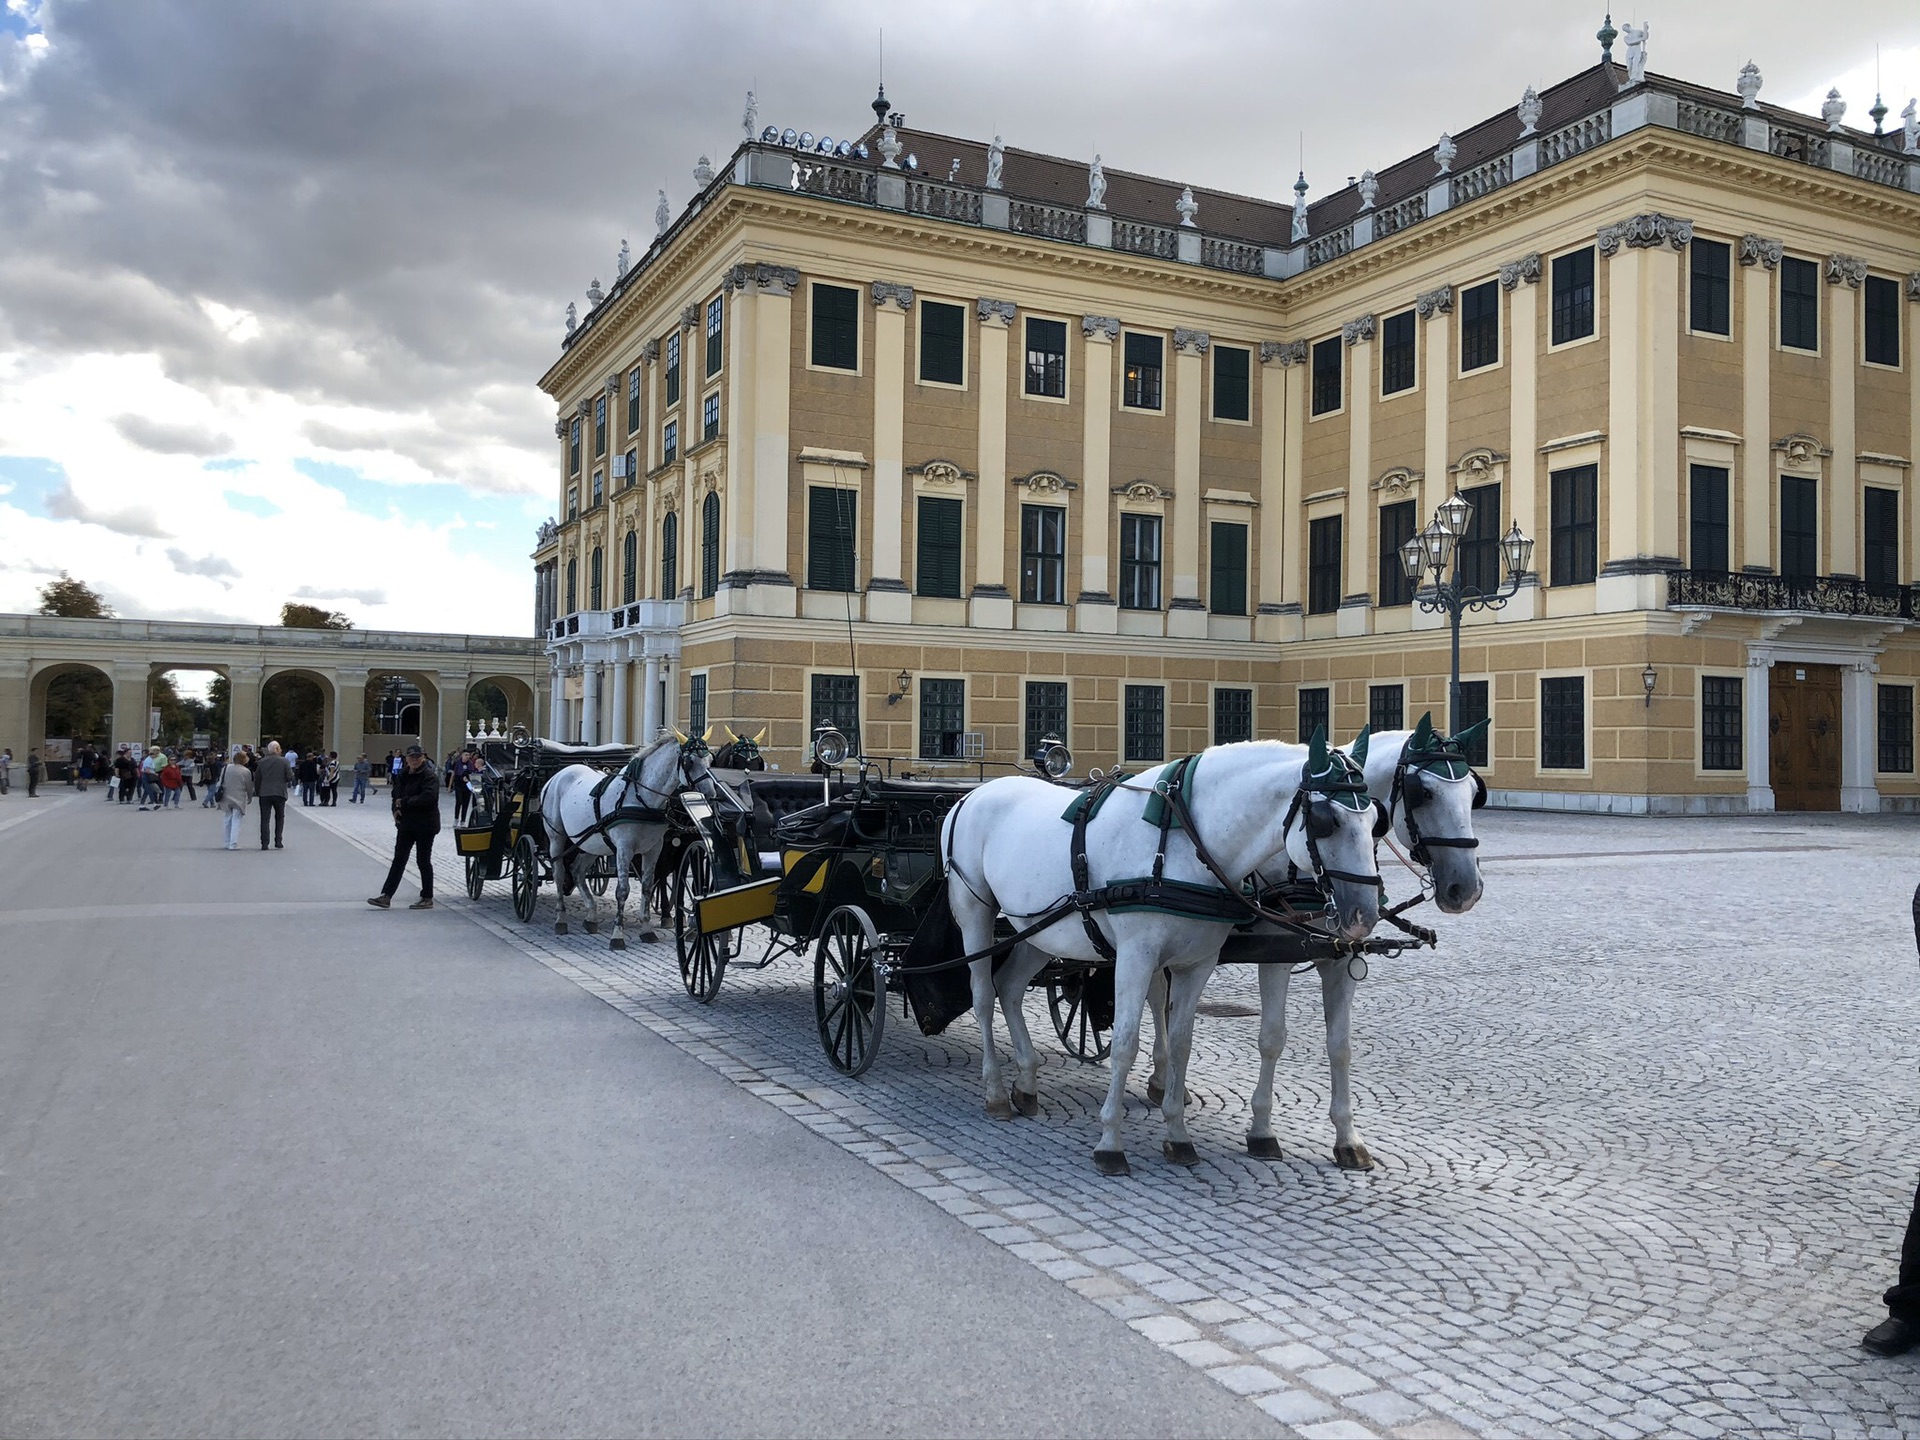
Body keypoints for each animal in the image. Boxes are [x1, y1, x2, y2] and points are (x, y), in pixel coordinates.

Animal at [537, 737, 718, 952]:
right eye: (689, 762)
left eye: (710, 760)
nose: (711, 794)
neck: (642, 799)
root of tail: (558, 775)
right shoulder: (625, 849)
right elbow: (622, 891)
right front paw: (617, 935)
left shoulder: (653, 850)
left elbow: (648, 887)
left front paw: (647, 930)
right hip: (556, 837)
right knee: (559, 873)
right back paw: (561, 919)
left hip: (591, 842)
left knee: (577, 871)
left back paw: (591, 916)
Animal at [940, 725, 1382, 1175]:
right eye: (1326, 821)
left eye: (1375, 821)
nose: (1363, 915)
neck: (1186, 839)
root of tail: (971, 796)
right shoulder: (1136, 957)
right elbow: (1125, 1043)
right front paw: (1110, 1142)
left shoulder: (1198, 964)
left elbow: (1183, 1041)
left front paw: (1177, 1133)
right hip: (976, 911)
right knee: (983, 995)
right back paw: (995, 1091)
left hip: (1038, 929)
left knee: (1010, 987)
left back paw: (1027, 1082)